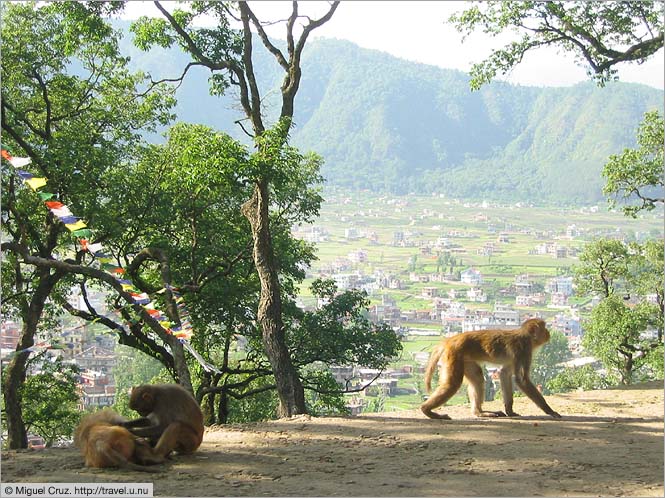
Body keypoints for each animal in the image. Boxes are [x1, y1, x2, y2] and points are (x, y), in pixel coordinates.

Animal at [420, 320, 560, 420]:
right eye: (544, 327)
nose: (548, 332)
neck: (526, 336)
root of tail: (450, 340)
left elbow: (504, 373)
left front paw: (509, 411)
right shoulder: (523, 350)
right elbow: (522, 379)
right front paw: (550, 411)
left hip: (466, 359)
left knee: (477, 378)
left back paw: (479, 412)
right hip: (454, 354)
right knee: (452, 384)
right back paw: (427, 410)